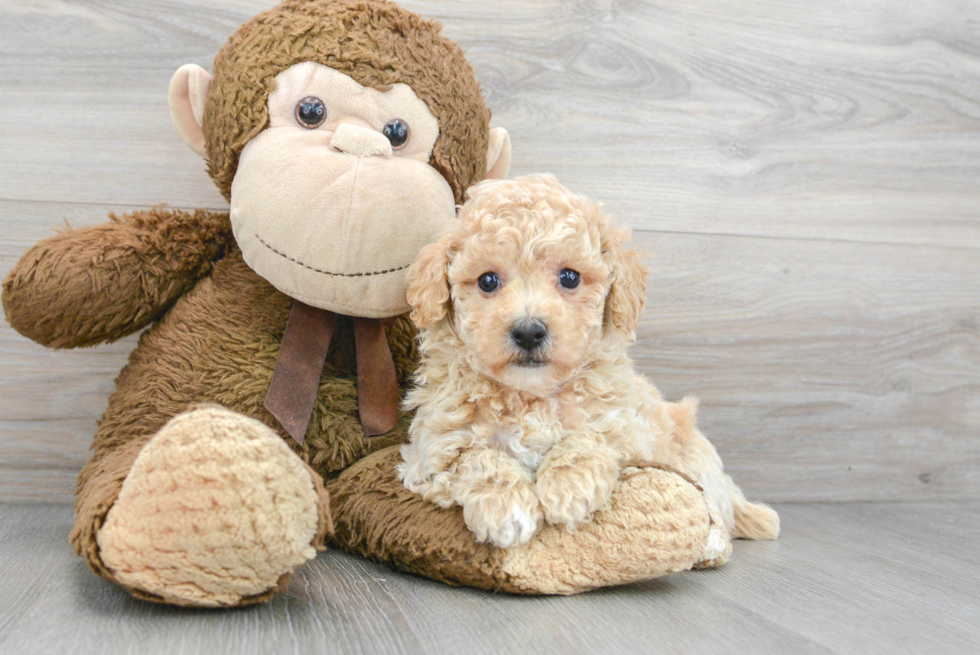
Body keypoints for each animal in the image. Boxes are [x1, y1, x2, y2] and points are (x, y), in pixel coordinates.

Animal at [394, 172, 776, 556]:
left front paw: (569, 488)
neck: (531, 397)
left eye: (570, 277)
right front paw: (506, 508)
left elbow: (587, 437)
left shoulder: (627, 428)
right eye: (487, 280)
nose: (529, 331)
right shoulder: (430, 453)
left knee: (714, 509)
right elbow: (478, 456)